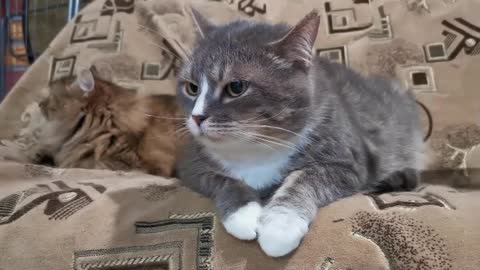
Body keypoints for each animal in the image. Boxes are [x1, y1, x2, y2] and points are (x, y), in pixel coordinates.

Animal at [174, 8, 422, 258]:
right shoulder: (190, 164)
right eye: (192, 87)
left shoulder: (348, 163)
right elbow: (223, 180)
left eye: (236, 87)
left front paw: (280, 226)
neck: (255, 147)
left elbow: (304, 179)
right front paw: (243, 214)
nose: (196, 117)